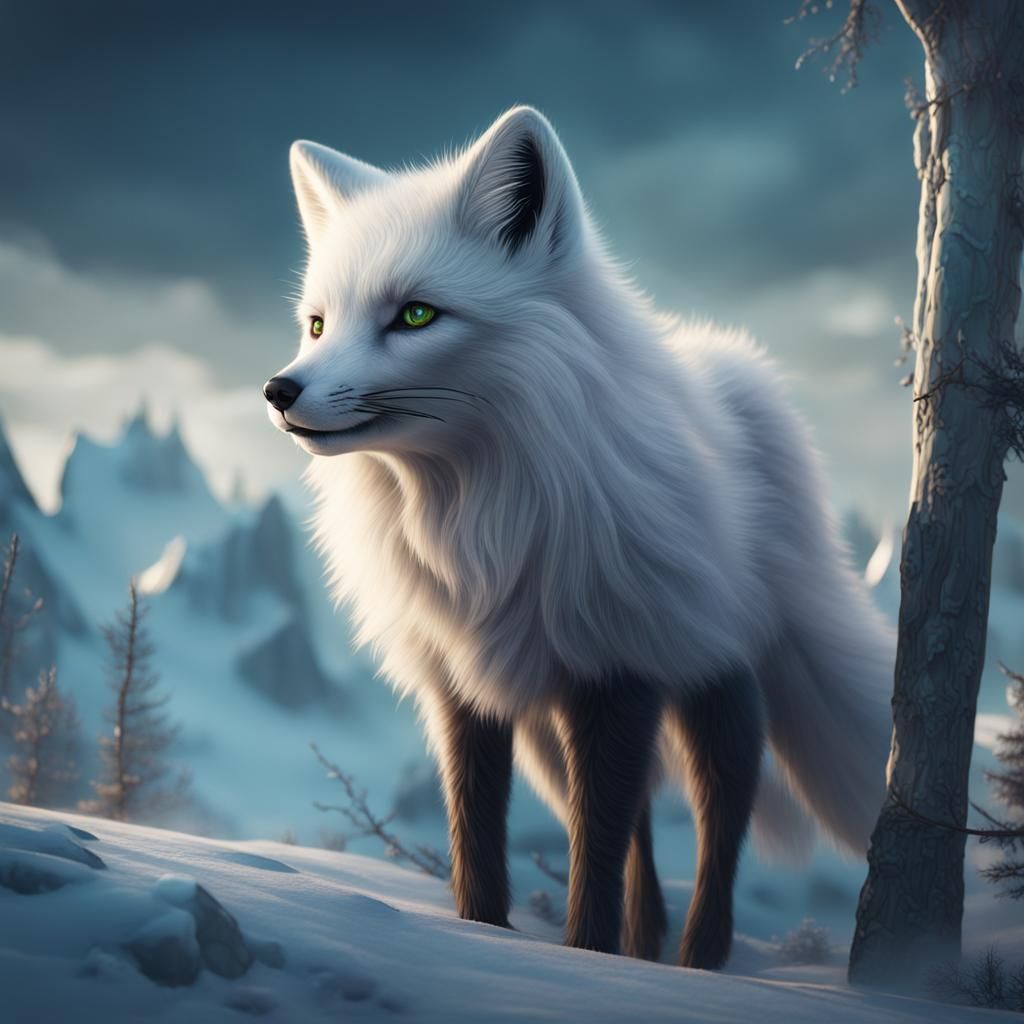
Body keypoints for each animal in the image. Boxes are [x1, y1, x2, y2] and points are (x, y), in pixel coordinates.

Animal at [264, 106, 895, 969]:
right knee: (639, 830)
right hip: (548, 732)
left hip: (708, 674)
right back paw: (646, 942)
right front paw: (488, 939)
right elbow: (481, 842)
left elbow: (594, 855)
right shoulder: (464, 683)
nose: (279, 390)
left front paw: (588, 957)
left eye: (416, 315)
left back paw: (697, 957)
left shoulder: (616, 669)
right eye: (319, 324)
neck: (475, 518)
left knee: (717, 812)